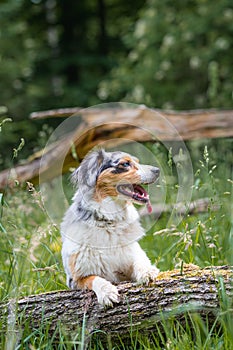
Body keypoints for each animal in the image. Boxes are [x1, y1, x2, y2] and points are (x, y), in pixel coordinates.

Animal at [60, 148, 160, 306]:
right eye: (125, 164)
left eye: (137, 161)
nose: (157, 170)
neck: (108, 223)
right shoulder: (75, 279)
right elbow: (95, 278)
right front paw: (107, 293)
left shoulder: (131, 257)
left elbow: (139, 262)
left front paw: (147, 271)